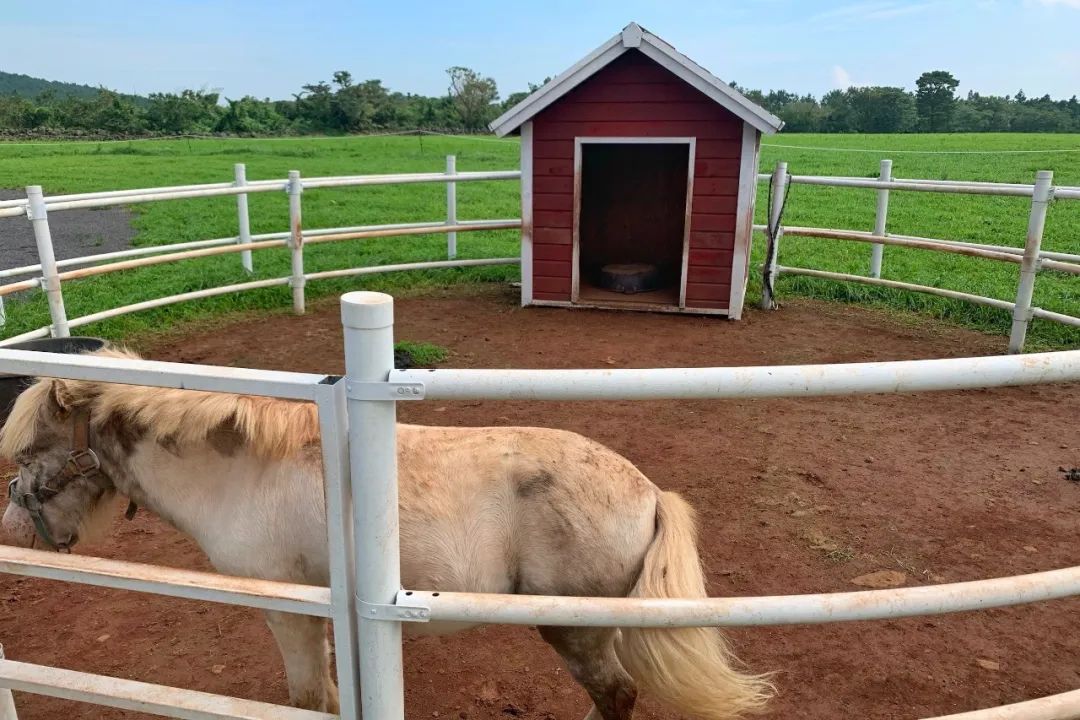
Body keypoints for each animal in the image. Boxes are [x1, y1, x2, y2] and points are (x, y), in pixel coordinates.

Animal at [2, 345, 777, 716]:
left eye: (29, 448)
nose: (15, 527)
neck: (247, 470)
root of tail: (650, 493)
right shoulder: (315, 608)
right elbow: (328, 694)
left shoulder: (283, 610)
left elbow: (306, 698)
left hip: (573, 629)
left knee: (615, 696)